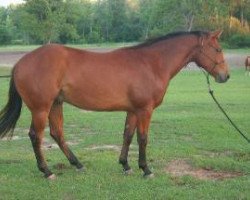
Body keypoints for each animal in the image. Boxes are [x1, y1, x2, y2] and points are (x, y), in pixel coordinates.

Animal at [0, 30, 229, 179]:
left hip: (56, 104)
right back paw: (47, 171)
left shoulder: (133, 110)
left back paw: (78, 164)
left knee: (57, 133)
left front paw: (126, 165)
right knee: (35, 136)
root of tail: (20, 63)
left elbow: (128, 135)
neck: (151, 64)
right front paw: (146, 169)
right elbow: (143, 138)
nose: (225, 76)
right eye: (218, 49)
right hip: (41, 108)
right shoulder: (145, 110)